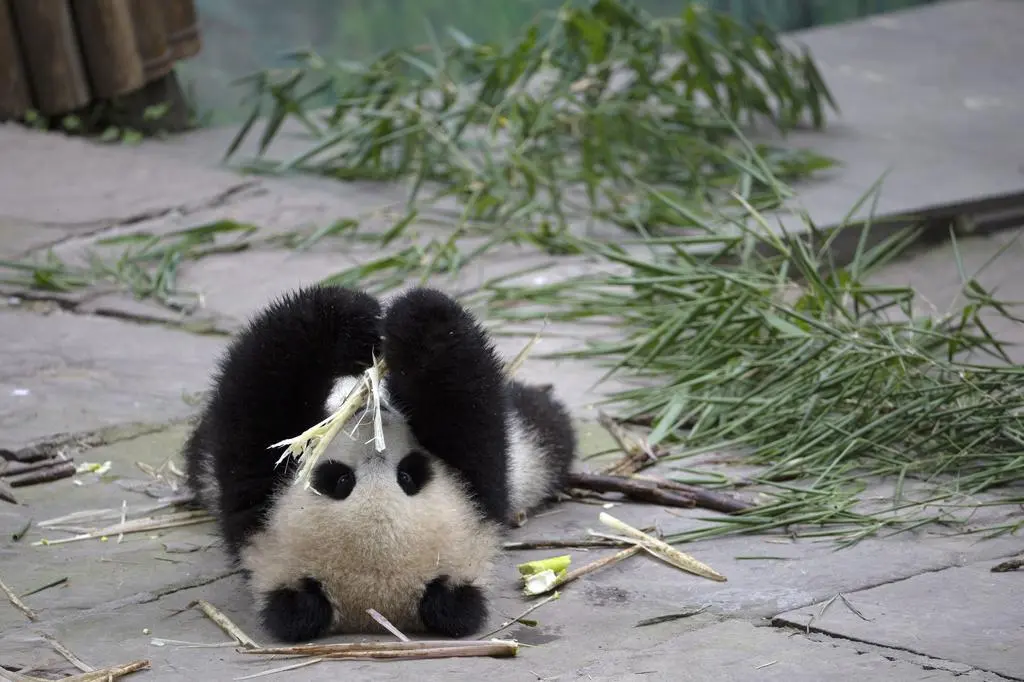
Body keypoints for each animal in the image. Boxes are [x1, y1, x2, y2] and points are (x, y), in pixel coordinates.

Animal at [182, 284, 576, 643]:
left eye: (409, 476)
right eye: (338, 481)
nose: (376, 425)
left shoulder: (484, 494)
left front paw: (401, 319)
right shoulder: (252, 513)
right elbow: (259, 402)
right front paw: (355, 319)